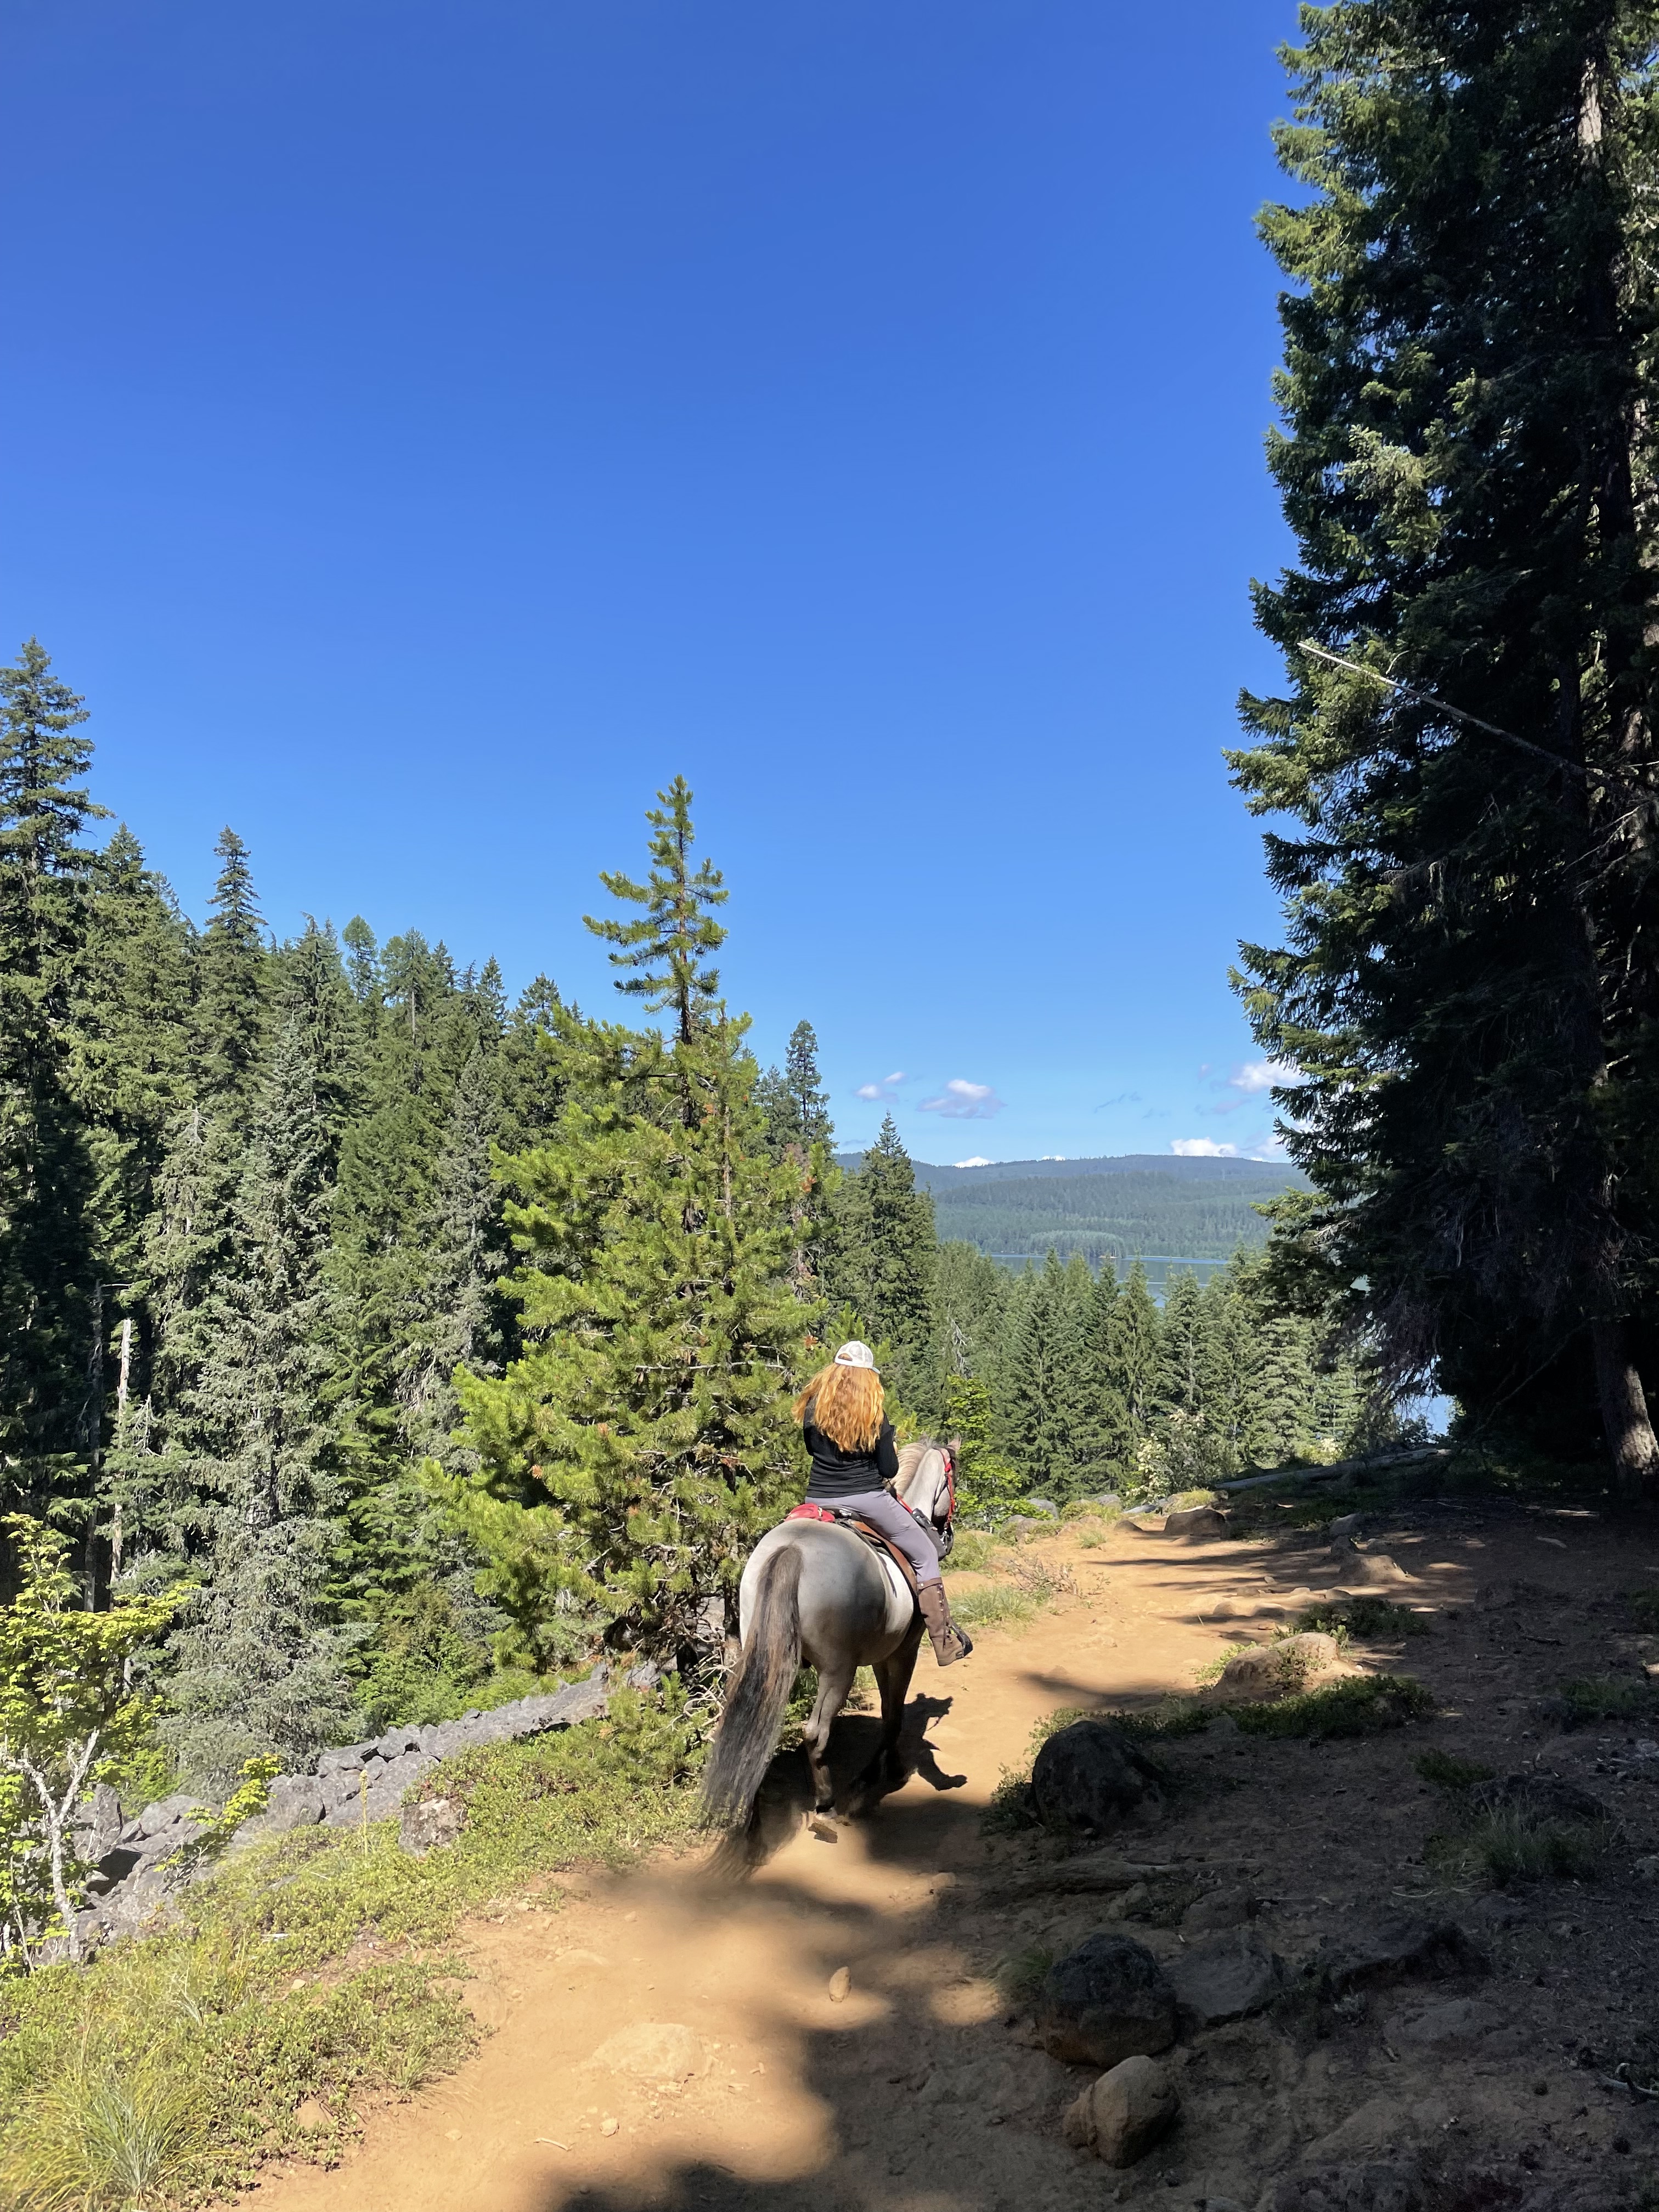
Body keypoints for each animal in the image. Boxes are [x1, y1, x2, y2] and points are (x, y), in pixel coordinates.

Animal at [700, 1439, 957, 1836]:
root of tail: (794, 1548)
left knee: (747, 1721)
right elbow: (894, 1712)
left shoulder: (883, 1655)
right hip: (838, 1671)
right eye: (953, 1479)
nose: (947, 1533)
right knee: (815, 1733)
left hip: (765, 1656)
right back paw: (826, 1807)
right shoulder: (903, 1651)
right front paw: (887, 1773)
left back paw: (748, 1814)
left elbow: (890, 1710)